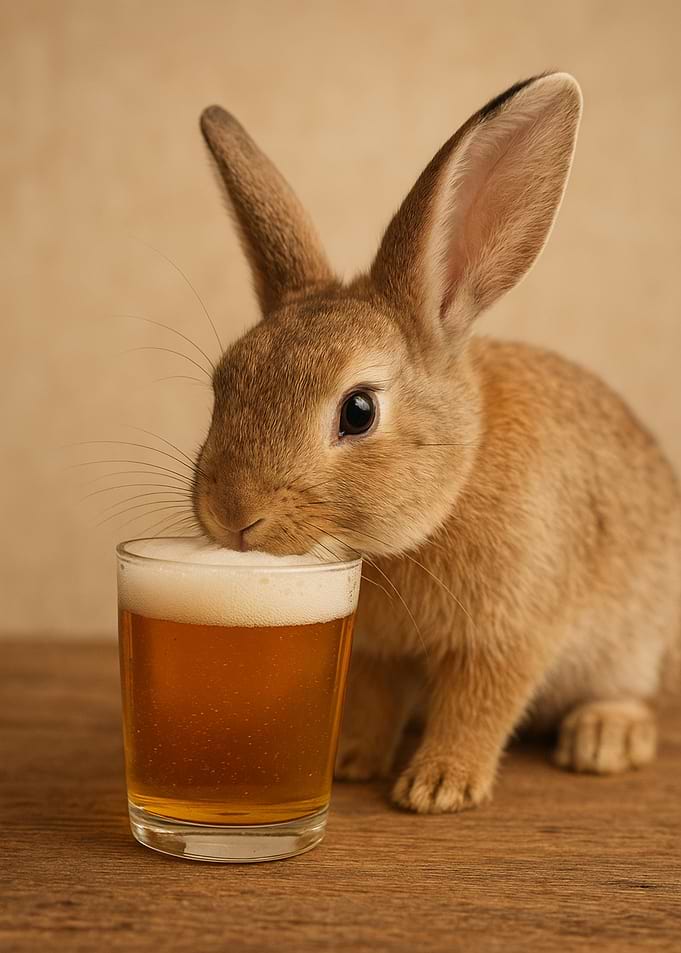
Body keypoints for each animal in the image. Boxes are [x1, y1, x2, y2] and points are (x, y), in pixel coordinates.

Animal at [192, 72, 681, 814]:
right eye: (223, 383)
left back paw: (603, 738)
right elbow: (373, 704)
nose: (231, 514)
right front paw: (353, 762)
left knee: (636, 695)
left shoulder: (509, 635)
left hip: (639, 638)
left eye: (358, 411)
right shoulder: (376, 655)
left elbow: (478, 707)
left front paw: (437, 786)